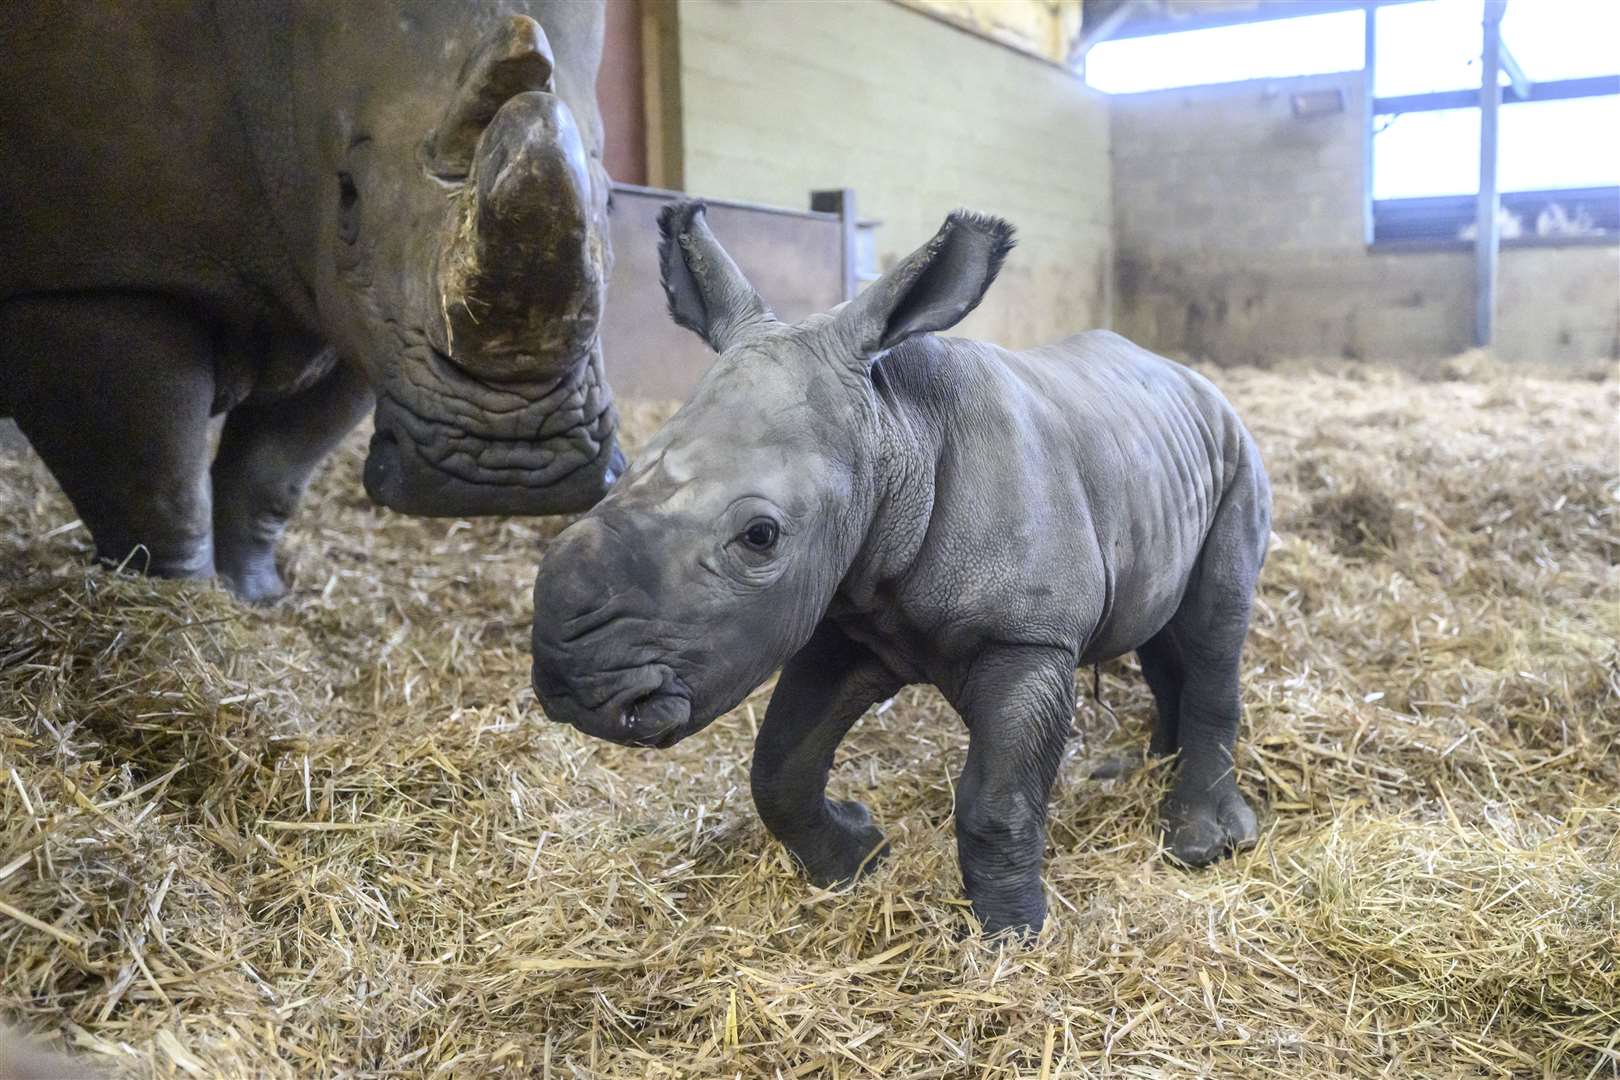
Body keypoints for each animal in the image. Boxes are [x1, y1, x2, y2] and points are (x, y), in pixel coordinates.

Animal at [0, 0, 622, 599]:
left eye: (612, 203)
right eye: (347, 197)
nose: (508, 470)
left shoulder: (359, 319)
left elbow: (274, 472)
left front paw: (257, 598)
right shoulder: (94, 280)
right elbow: (158, 491)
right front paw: (180, 603)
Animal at [537, 204, 1270, 939]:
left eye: (760, 536)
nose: (570, 683)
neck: (896, 433)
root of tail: (1195, 379)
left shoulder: (1028, 636)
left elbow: (996, 803)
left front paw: (1015, 938)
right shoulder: (849, 617)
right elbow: (779, 764)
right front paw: (857, 858)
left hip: (1238, 453)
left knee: (1214, 624)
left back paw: (1200, 844)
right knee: (1161, 628)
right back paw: (1142, 769)